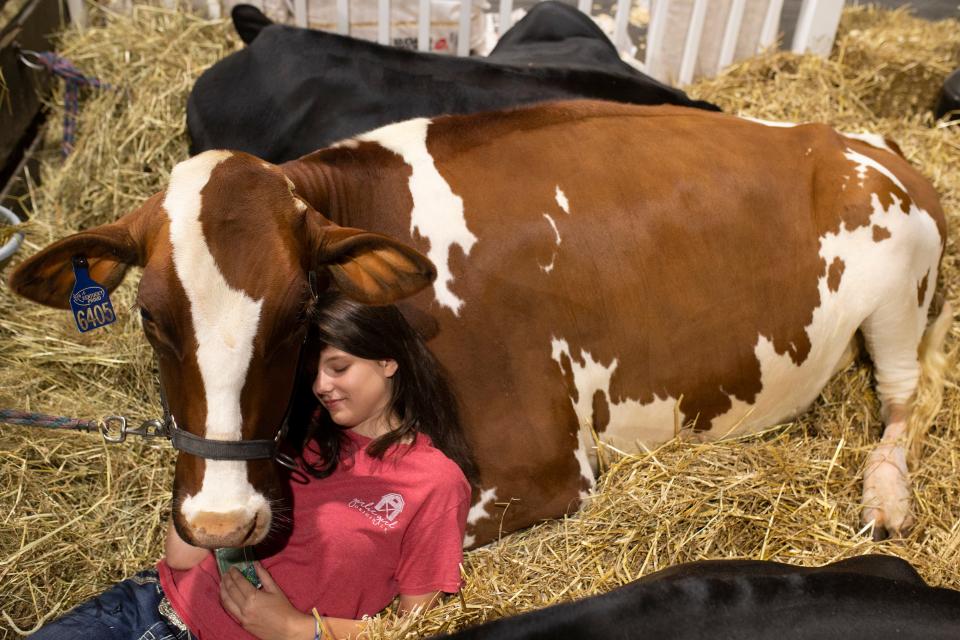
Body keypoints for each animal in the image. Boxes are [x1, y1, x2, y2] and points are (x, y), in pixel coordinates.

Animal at [11, 102, 948, 548]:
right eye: (149, 316)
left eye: (298, 310)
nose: (218, 523)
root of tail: (858, 137)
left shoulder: (545, 463)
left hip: (898, 297)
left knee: (905, 403)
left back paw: (886, 496)